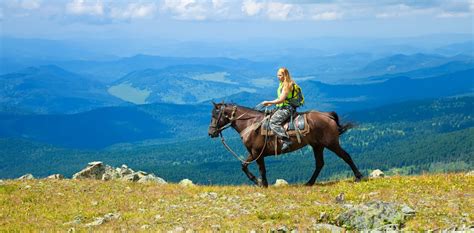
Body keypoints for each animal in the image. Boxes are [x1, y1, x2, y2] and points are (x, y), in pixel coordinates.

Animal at [207, 102, 362, 187]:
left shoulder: (257, 153)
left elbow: (262, 169)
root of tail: (327, 115)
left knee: (346, 156)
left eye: (215, 115)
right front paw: (258, 182)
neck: (250, 124)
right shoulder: (252, 153)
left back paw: (358, 176)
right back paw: (309, 182)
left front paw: (262, 184)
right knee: (319, 164)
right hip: (317, 146)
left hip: (331, 143)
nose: (211, 133)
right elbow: (244, 166)